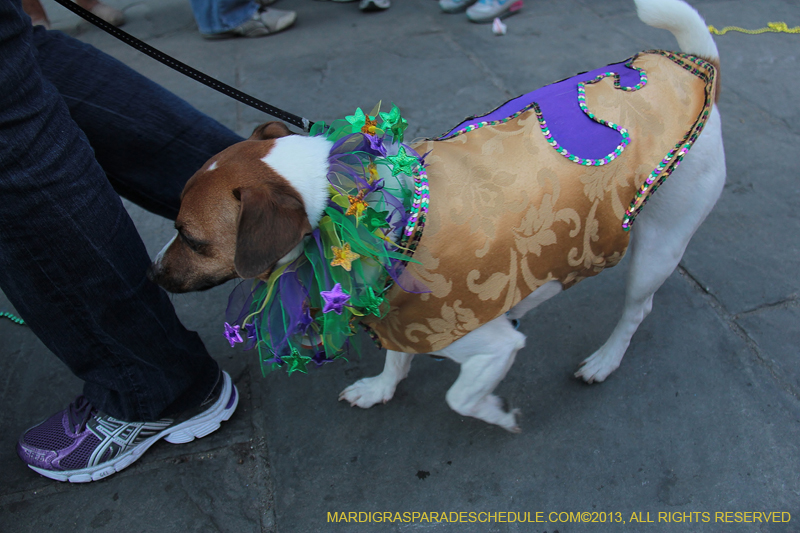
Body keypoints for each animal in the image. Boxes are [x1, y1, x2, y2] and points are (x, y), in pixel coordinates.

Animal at [148, 0, 724, 430]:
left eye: (192, 239)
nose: (151, 273)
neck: (369, 215)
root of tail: (692, 65)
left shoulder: (491, 344)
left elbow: (461, 397)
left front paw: (497, 411)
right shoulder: (395, 314)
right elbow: (396, 355)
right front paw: (380, 387)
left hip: (659, 245)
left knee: (636, 311)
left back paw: (604, 360)